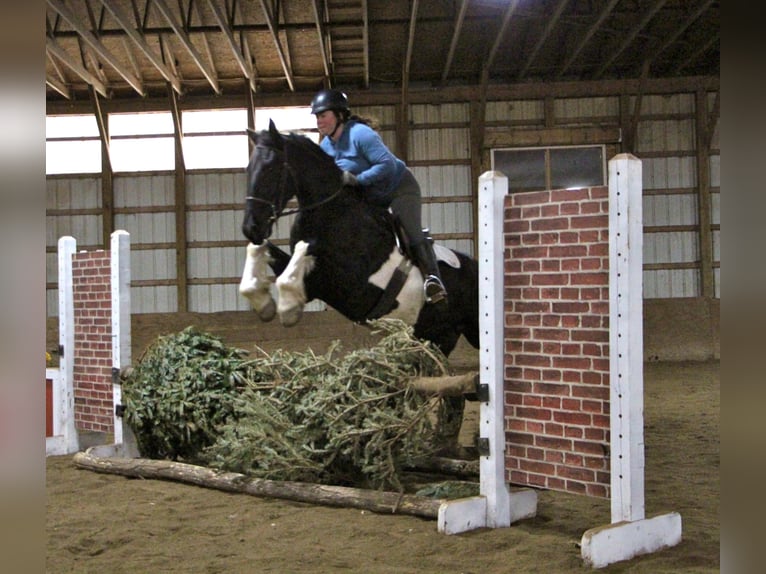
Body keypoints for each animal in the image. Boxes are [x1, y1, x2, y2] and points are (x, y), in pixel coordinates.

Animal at [240, 120, 480, 360]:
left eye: (271, 169)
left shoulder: (342, 280)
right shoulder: (312, 281)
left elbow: (303, 251)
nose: (251, 228)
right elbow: (261, 251)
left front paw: (288, 309)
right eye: (248, 169)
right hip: (435, 336)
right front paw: (264, 304)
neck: (329, 211)